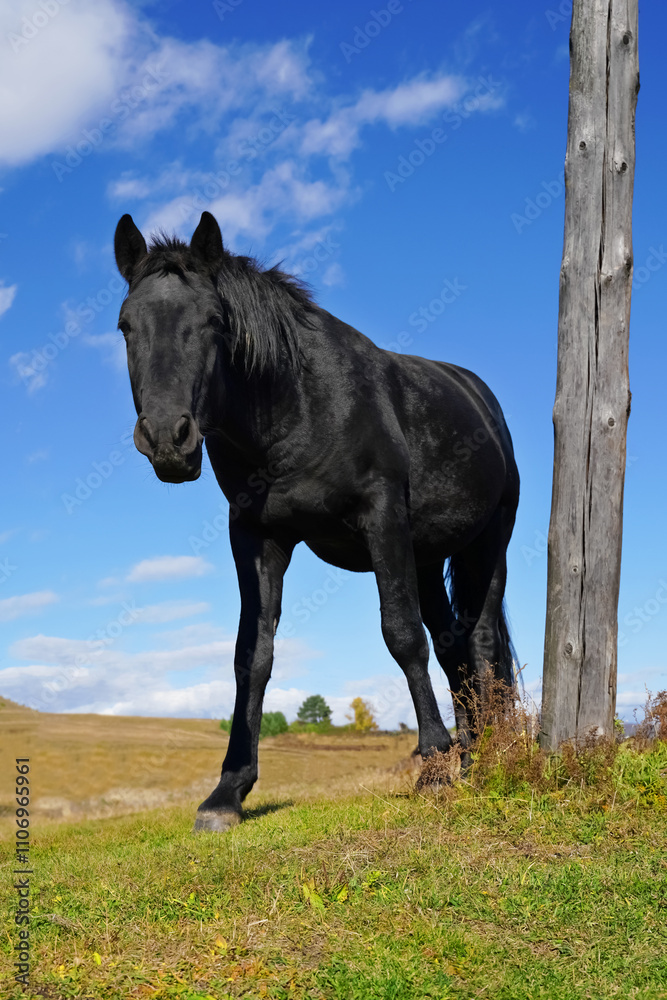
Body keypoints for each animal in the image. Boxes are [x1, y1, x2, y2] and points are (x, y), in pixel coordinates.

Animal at [114, 210, 520, 832]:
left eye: (214, 322)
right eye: (125, 326)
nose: (167, 438)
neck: (298, 405)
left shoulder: (382, 517)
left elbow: (400, 635)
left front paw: (431, 764)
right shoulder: (256, 537)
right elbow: (252, 656)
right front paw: (227, 792)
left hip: (488, 543)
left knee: (478, 639)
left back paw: (485, 755)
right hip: (427, 559)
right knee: (452, 644)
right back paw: (470, 758)